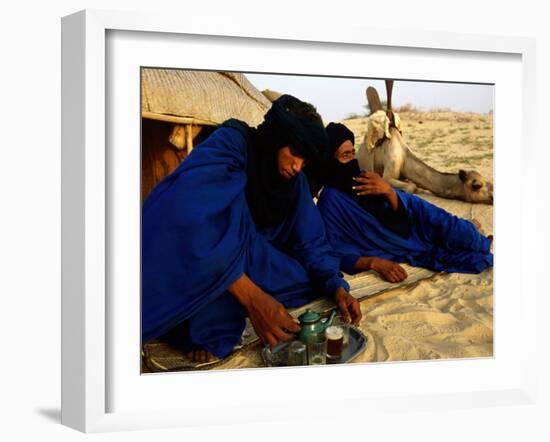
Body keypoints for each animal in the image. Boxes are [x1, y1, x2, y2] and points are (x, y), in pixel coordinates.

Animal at [358, 80, 496, 205]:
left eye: (485, 179)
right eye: (476, 185)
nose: (493, 196)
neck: (404, 158)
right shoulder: (390, 169)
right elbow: (411, 187)